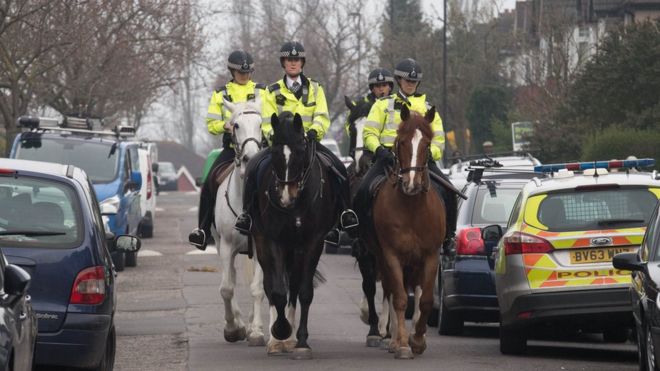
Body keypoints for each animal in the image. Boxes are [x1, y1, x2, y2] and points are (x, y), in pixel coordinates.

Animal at [248, 112, 340, 360]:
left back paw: (289, 341)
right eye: (274, 152)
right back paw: (277, 340)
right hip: (264, 244)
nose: (286, 197)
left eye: (300, 150)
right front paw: (280, 331)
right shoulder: (274, 240)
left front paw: (301, 343)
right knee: (271, 286)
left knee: (295, 286)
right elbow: (278, 291)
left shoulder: (313, 243)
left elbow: (304, 292)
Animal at [364, 104, 446, 360]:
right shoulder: (391, 255)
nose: (411, 183)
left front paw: (417, 340)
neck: (412, 209)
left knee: (417, 294)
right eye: (401, 142)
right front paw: (401, 344)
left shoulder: (431, 255)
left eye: (427, 145)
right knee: (391, 292)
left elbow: (426, 300)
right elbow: (399, 298)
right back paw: (392, 338)